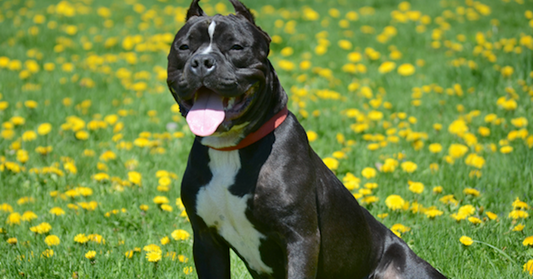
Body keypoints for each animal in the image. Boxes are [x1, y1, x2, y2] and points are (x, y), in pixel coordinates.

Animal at [165, 1, 444, 278]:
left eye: (236, 47)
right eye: (184, 47)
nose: (202, 61)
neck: (230, 149)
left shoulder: (300, 239)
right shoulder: (206, 239)